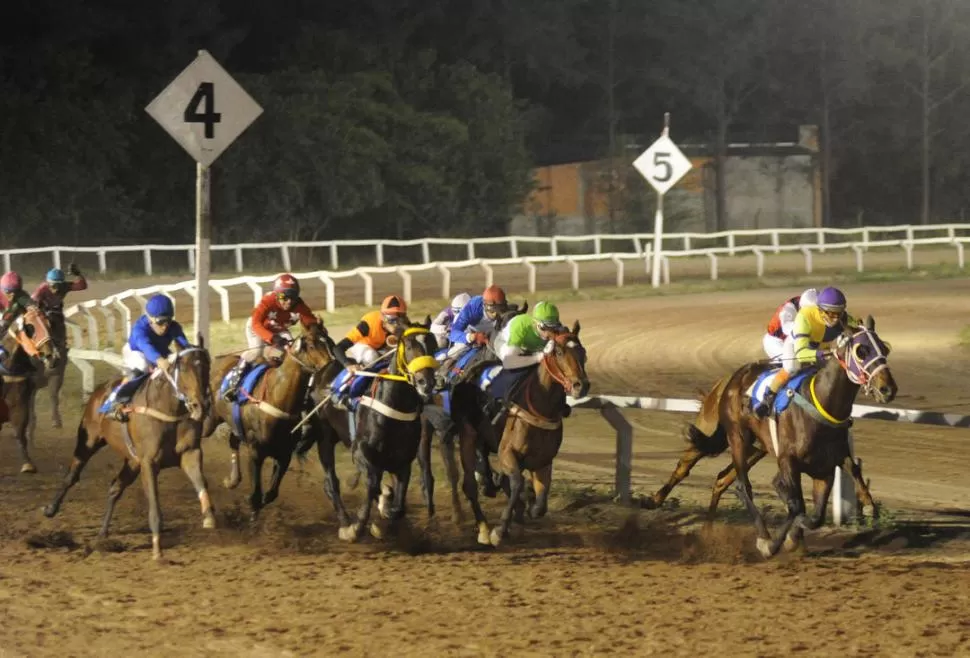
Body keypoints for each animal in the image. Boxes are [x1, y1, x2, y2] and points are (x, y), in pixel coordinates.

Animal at [1, 304, 60, 474]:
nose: (52, 356)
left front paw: (28, 464)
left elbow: (20, 431)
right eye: (30, 327)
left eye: (49, 324)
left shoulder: (19, 403)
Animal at [44, 338, 212, 560]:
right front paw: (157, 550)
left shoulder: (189, 453)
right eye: (183, 368)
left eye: (207, 366)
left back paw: (102, 534)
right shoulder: (149, 462)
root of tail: (101, 389)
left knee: (115, 487)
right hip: (89, 441)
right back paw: (51, 508)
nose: (200, 405)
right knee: (72, 475)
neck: (168, 409)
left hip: (132, 461)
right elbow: (154, 505)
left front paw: (209, 517)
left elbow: (201, 483)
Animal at [200, 320, 332, 520]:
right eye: (311, 345)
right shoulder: (255, 451)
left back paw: (232, 480)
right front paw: (253, 506)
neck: (277, 398)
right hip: (210, 420)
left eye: (329, 342)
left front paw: (259, 502)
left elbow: (272, 493)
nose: (331, 368)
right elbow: (255, 490)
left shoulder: (285, 453)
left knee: (232, 441)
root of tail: (218, 361)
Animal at [450, 322, 588, 544]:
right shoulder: (507, 452)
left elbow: (540, 502)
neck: (541, 408)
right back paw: (484, 529)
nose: (581, 385)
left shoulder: (543, 461)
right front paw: (500, 530)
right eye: (559, 352)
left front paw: (527, 509)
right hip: (467, 434)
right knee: (469, 485)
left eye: (583, 352)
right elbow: (516, 484)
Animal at [668, 316, 896, 556]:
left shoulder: (826, 467)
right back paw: (760, 535)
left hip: (757, 446)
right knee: (741, 485)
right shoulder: (788, 460)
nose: (888, 389)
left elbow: (817, 512)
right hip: (737, 437)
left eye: (884, 348)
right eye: (862, 350)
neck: (821, 403)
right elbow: (796, 505)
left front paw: (868, 504)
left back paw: (708, 529)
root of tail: (732, 378)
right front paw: (774, 543)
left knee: (723, 479)